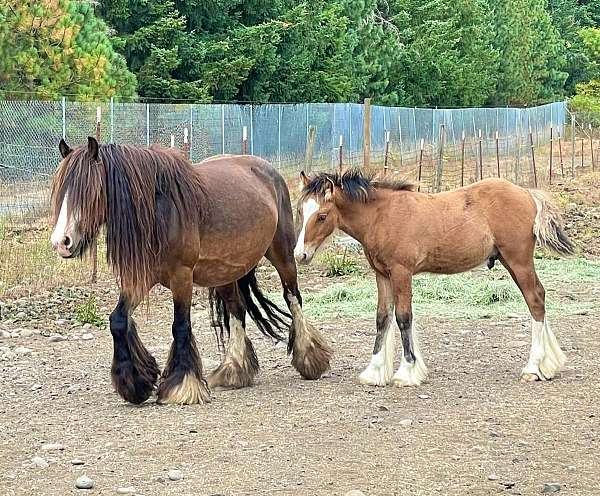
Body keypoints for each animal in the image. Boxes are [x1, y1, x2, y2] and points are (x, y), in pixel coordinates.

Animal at [50, 138, 332, 404]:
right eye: (62, 191)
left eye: (88, 190)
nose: (61, 242)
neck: (160, 210)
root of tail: (268, 170)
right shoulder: (141, 279)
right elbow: (118, 321)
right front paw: (135, 383)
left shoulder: (182, 276)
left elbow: (180, 327)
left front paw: (182, 386)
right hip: (225, 272)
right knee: (238, 310)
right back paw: (234, 370)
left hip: (282, 253)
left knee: (293, 298)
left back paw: (309, 359)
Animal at [296, 170, 572, 388]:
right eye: (300, 211)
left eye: (321, 215)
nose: (301, 255)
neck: (382, 215)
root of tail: (527, 193)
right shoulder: (382, 275)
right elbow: (382, 318)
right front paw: (374, 372)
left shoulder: (401, 272)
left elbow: (403, 318)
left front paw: (406, 372)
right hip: (509, 261)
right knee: (538, 297)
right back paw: (549, 365)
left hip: (518, 260)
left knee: (534, 300)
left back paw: (533, 368)